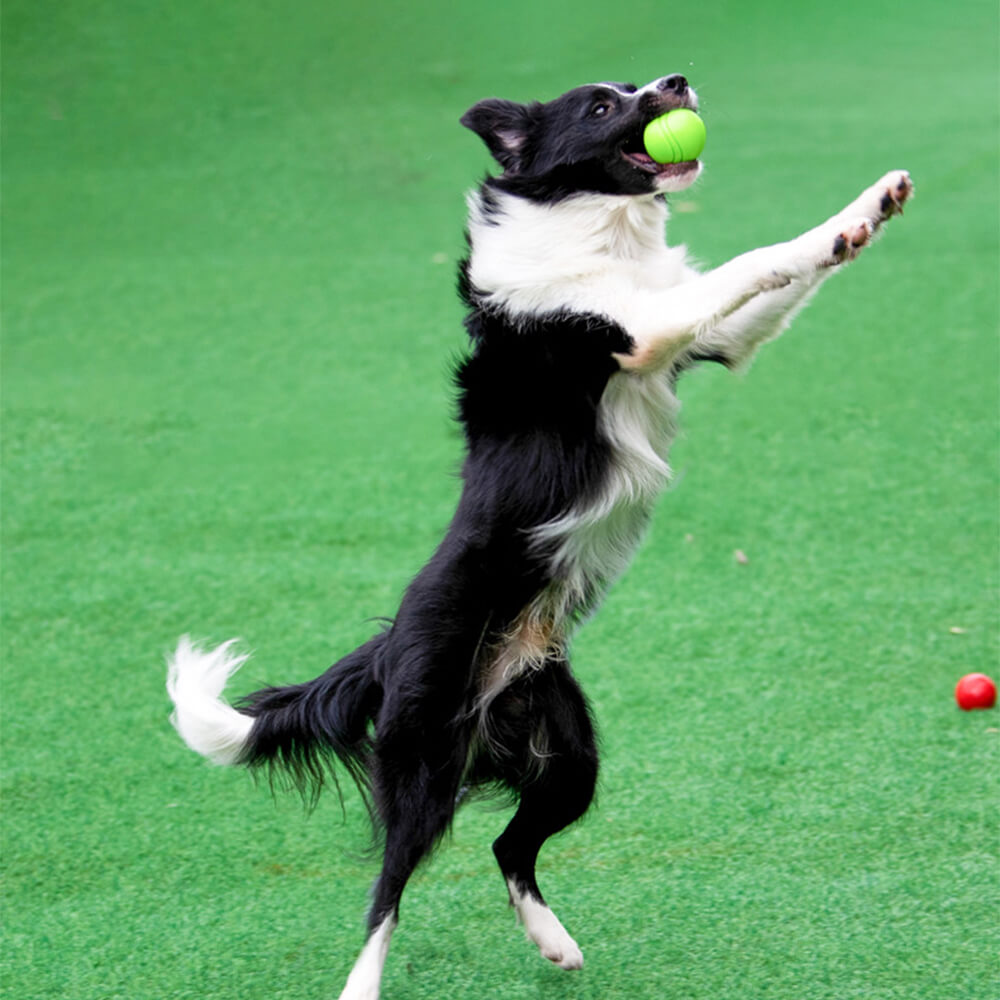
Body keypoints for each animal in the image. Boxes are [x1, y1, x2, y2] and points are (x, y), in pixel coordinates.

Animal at [166, 76, 916, 1000]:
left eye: (636, 84)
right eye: (601, 106)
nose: (676, 83)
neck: (597, 226)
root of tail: (384, 649)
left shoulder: (713, 336)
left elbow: (777, 276)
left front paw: (869, 210)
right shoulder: (639, 329)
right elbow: (758, 258)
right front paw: (835, 225)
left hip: (567, 753)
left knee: (508, 844)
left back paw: (554, 941)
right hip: (424, 760)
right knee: (387, 888)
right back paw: (363, 984)